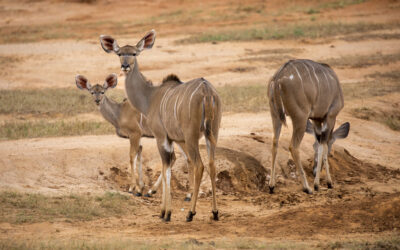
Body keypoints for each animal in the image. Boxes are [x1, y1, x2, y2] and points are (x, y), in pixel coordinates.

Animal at [98, 30, 220, 222]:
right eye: (119, 53)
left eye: (134, 53)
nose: (125, 66)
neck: (150, 96)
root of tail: (206, 91)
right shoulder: (170, 138)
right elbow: (167, 167)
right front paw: (163, 208)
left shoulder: (161, 136)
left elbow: (166, 167)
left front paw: (166, 213)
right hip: (212, 132)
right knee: (212, 164)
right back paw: (214, 213)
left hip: (191, 136)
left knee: (199, 165)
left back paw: (191, 213)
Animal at [268, 58, 350, 193]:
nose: (314, 170)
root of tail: (278, 78)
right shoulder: (330, 116)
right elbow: (324, 145)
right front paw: (324, 184)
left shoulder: (316, 120)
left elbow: (319, 143)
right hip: (300, 117)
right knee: (293, 146)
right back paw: (307, 187)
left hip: (275, 116)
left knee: (275, 142)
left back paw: (271, 186)